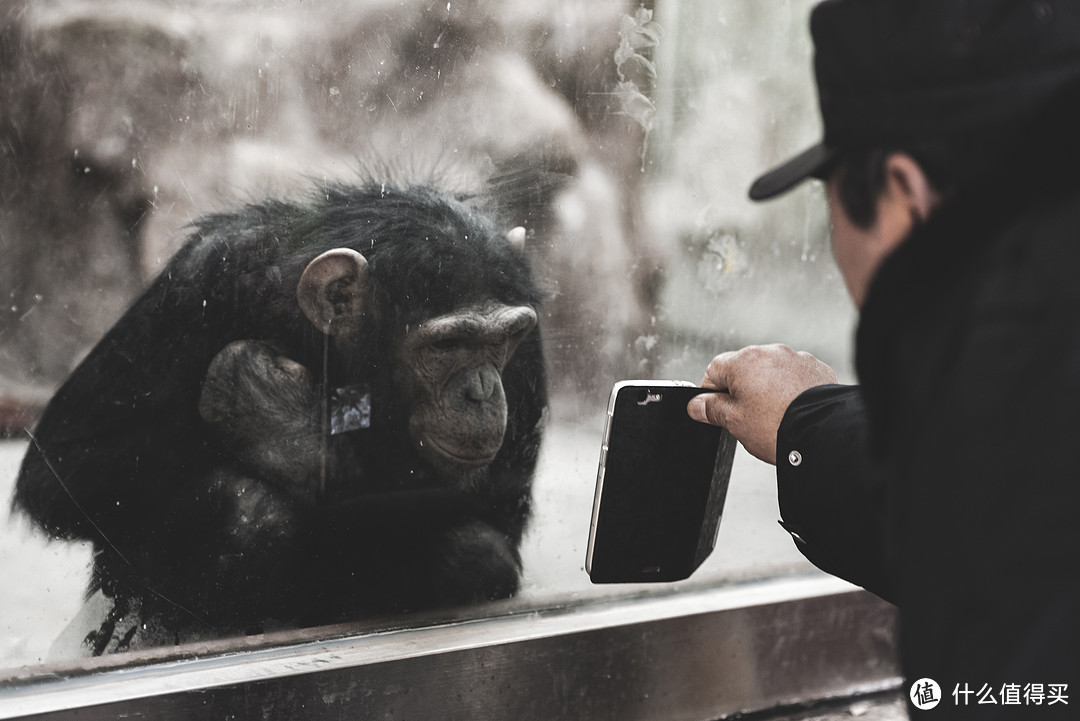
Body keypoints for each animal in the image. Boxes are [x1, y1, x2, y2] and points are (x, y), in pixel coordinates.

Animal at [9, 181, 548, 651]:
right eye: (445, 345)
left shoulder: (527, 349)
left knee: (474, 552)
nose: (482, 391)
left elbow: (501, 507)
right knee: (245, 509)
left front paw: (275, 412)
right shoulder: (204, 278)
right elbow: (62, 468)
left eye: (502, 340)